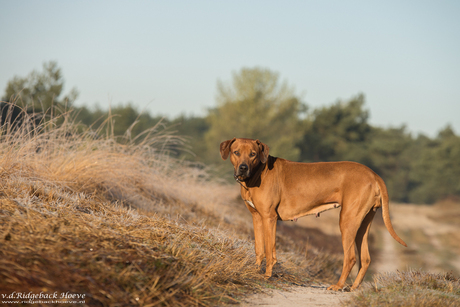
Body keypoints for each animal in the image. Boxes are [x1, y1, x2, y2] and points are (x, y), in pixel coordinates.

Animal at [221, 138, 404, 292]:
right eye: (236, 152)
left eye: (253, 154)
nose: (243, 168)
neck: (258, 172)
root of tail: (374, 174)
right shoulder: (257, 217)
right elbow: (259, 248)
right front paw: (254, 271)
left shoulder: (269, 218)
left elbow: (269, 249)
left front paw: (267, 276)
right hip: (363, 223)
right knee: (365, 259)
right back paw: (353, 287)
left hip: (347, 220)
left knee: (350, 257)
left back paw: (338, 285)